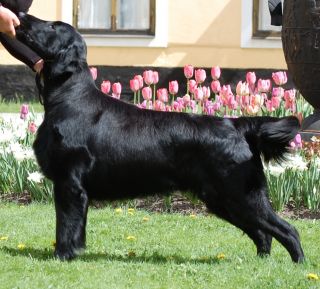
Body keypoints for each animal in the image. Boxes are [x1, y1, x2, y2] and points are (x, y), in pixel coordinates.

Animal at [16, 14, 304, 260]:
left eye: (53, 26)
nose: (21, 15)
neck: (68, 98)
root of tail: (236, 124)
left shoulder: (70, 183)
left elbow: (66, 227)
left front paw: (61, 256)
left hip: (241, 194)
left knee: (288, 230)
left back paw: (299, 264)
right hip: (222, 198)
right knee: (263, 234)